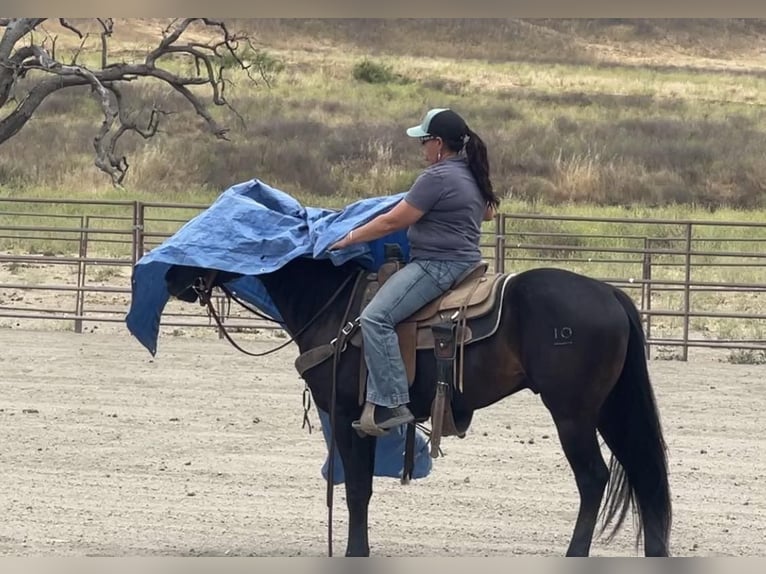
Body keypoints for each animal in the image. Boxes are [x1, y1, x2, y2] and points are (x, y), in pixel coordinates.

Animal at [164, 254, 672, 557]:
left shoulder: (346, 416)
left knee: (594, 479)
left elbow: (356, 489)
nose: (170, 276)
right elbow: (363, 489)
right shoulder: (363, 421)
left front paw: (354, 554)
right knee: (643, 474)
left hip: (572, 414)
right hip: (610, 410)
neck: (333, 304)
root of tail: (608, 292)